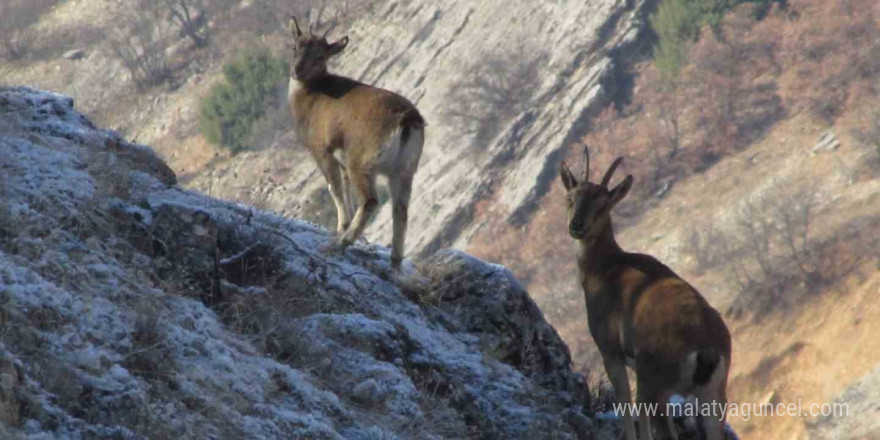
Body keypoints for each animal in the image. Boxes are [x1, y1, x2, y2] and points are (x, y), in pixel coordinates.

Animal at [288, 17, 424, 270]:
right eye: (294, 47)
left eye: (320, 55)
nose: (297, 70)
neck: (311, 96)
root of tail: (407, 120)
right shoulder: (342, 161)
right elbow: (345, 186)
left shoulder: (322, 150)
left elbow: (335, 187)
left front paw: (341, 227)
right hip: (403, 171)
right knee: (400, 209)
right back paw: (395, 263)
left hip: (363, 163)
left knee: (370, 201)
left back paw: (339, 244)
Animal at [560, 148, 732, 440]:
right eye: (570, 198)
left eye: (603, 205)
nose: (577, 226)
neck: (605, 269)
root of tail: (707, 350)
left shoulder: (610, 351)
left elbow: (626, 407)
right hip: (713, 395)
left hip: (656, 383)